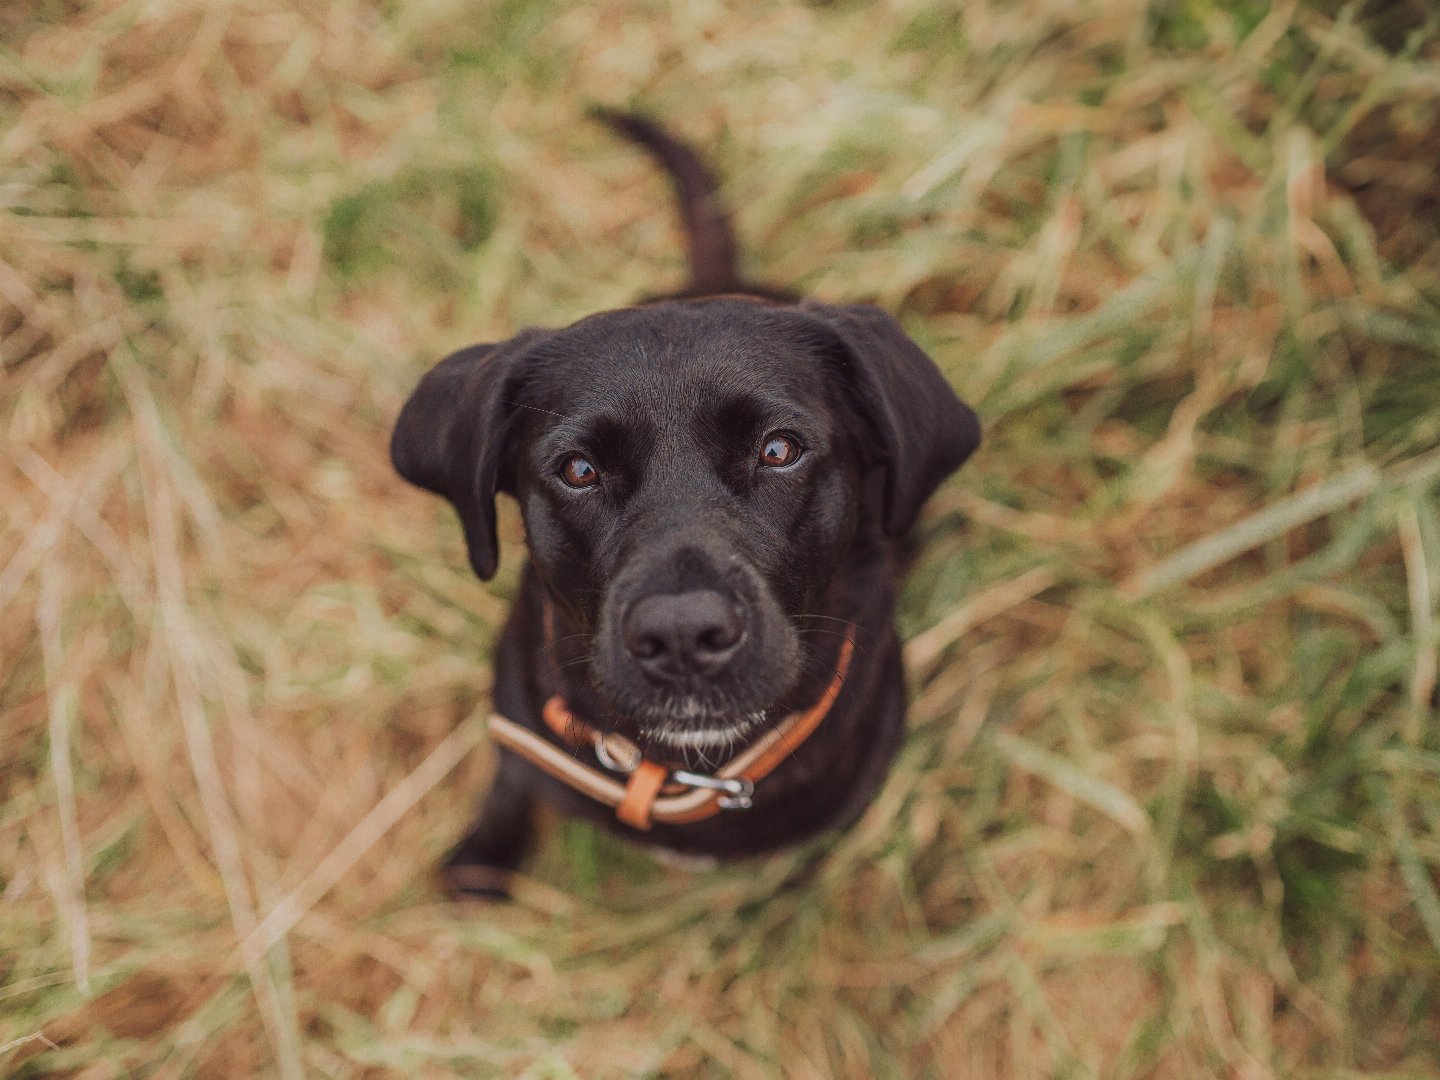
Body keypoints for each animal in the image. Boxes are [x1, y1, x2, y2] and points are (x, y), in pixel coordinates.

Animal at [394, 114, 979, 898]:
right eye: (578, 470)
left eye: (779, 449)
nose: (681, 635)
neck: (687, 771)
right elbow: (510, 782)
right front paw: (484, 857)